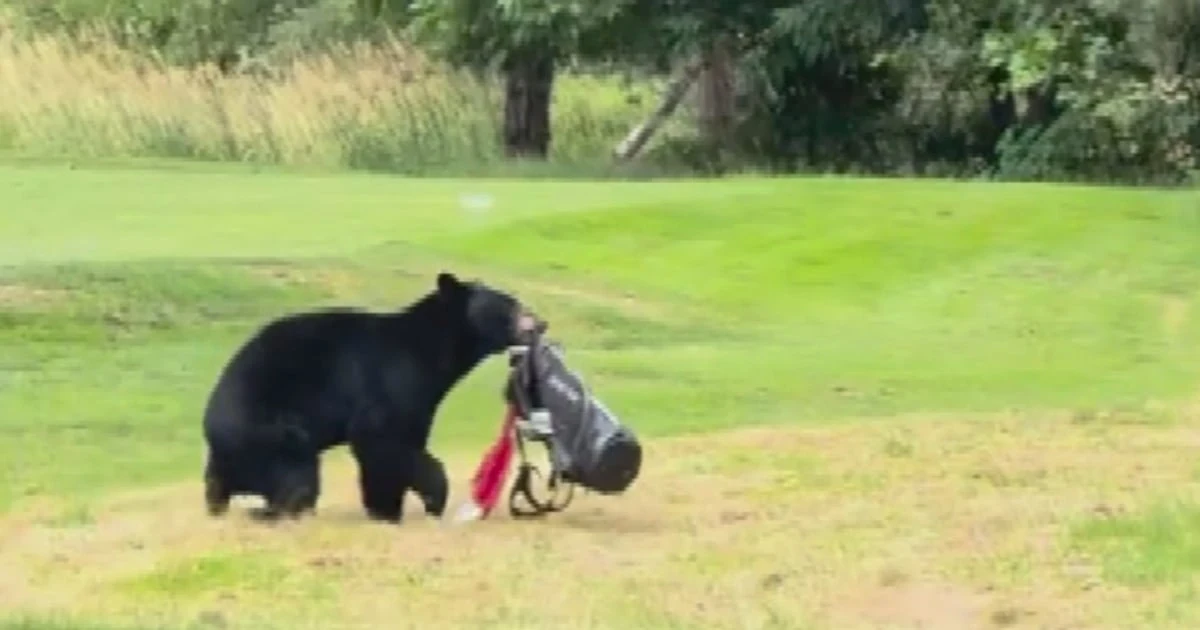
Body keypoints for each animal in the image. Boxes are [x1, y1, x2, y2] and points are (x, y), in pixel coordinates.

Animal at [201, 271, 543, 524]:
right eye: (512, 306)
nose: (541, 324)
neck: (430, 350)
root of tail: (213, 430)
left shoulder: (418, 401)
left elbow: (404, 440)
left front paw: (391, 508)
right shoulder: (390, 382)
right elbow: (381, 440)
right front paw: (417, 502)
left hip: (233, 456)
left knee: (219, 484)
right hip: (271, 428)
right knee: (296, 473)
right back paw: (275, 510)